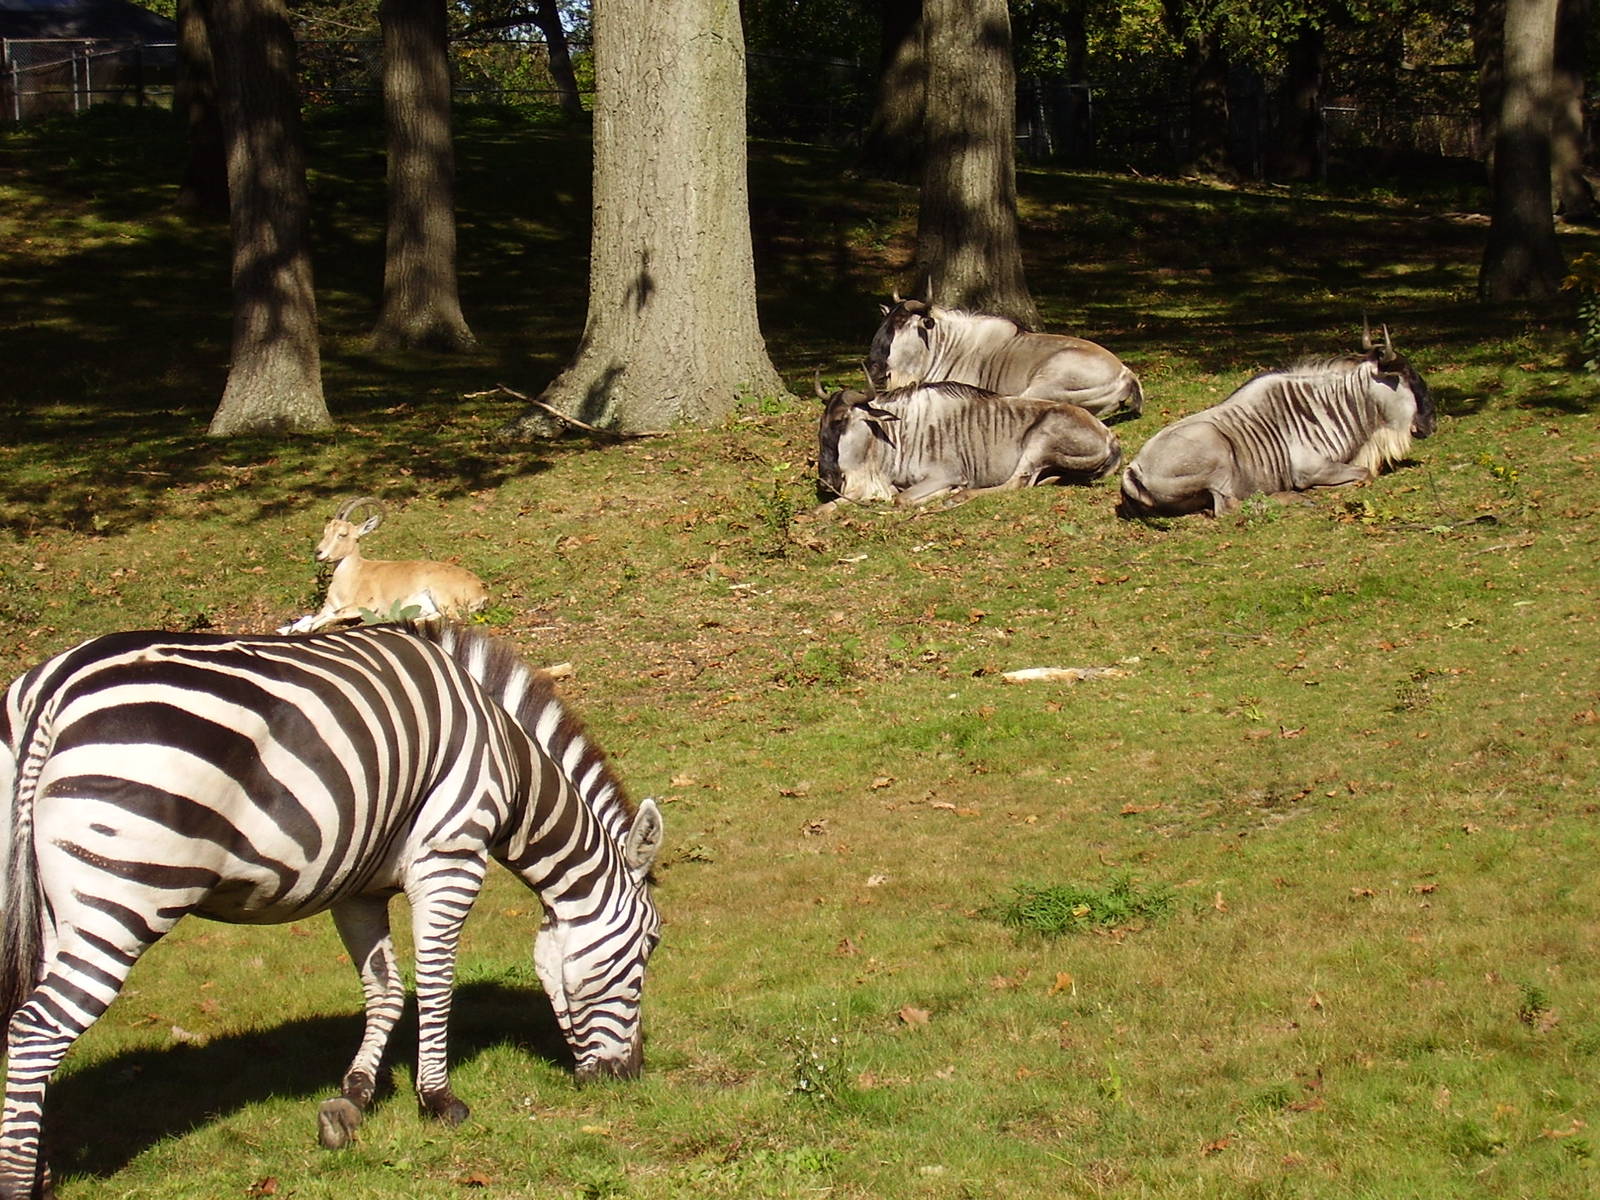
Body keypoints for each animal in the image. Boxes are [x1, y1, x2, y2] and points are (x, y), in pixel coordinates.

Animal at [0, 622, 663, 1200]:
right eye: (649, 948)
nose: (628, 1078)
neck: (510, 762)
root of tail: (55, 687)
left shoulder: (358, 887)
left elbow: (386, 990)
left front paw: (356, 1097)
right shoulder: (451, 856)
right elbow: (435, 981)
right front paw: (438, 1100)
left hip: (54, 905)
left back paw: (41, 1169)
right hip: (124, 896)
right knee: (37, 1028)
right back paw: (18, 1181)